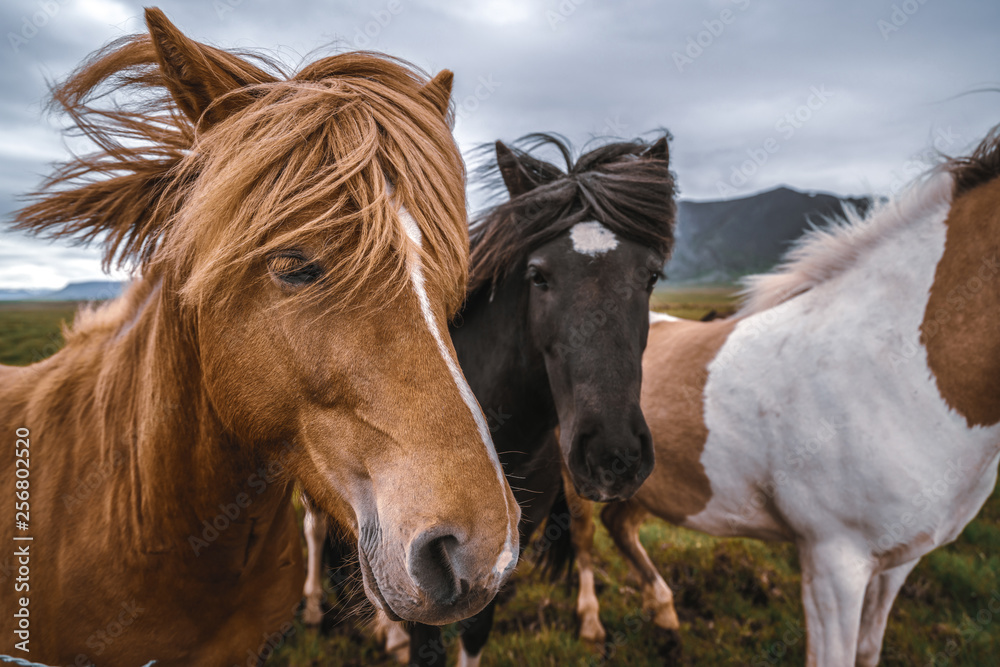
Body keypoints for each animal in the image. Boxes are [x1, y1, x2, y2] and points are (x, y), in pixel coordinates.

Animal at [564, 126, 1000, 667]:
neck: (898, 368)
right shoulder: (834, 562)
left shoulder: (899, 562)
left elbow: (869, 649)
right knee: (584, 538)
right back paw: (591, 625)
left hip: (649, 482)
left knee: (619, 524)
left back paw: (664, 616)